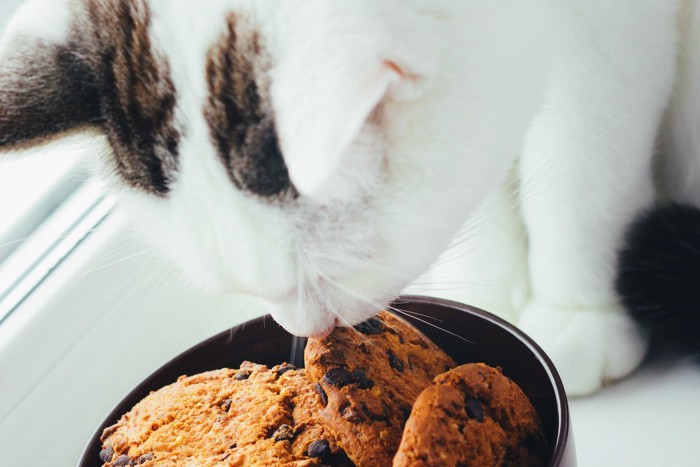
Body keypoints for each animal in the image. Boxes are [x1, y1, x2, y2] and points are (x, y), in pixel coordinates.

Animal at [0, 0, 696, 396]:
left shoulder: (616, 22)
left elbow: (585, 157)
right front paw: (498, 291)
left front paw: (578, 310)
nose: (304, 333)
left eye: (329, 273)